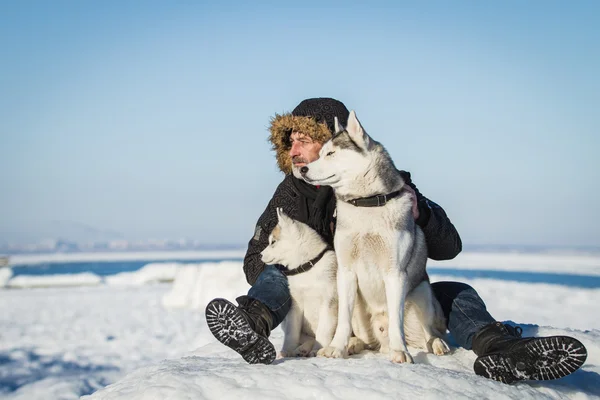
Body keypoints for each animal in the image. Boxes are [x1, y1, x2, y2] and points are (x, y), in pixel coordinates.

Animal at [262, 208, 340, 358]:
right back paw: (302, 349)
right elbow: (292, 332)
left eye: (273, 242)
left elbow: (323, 330)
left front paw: (317, 349)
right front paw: (286, 351)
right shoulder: (296, 304)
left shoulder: (329, 301)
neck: (307, 267)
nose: (260, 255)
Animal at [302, 111, 448, 364]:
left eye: (331, 153)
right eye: (319, 153)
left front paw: (400, 352)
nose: (303, 170)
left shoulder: (395, 273)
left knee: (429, 331)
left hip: (422, 292)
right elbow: (343, 319)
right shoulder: (346, 271)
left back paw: (435, 343)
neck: (366, 203)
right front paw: (336, 348)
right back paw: (353, 344)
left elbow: (396, 320)